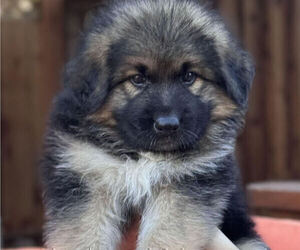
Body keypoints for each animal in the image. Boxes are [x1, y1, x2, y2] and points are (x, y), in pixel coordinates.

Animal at [41, 0, 270, 249]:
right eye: (137, 79)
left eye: (189, 76)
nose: (167, 125)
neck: (142, 155)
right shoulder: (86, 174)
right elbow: (84, 233)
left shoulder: (187, 180)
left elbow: (165, 231)